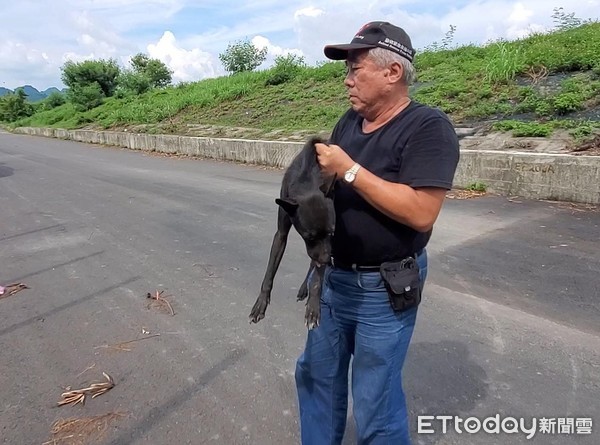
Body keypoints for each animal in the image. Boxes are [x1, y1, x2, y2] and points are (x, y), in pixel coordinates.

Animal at [247, 137, 336, 328]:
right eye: (309, 237)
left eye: (332, 233)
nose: (328, 260)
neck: (306, 178)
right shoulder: (281, 233)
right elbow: (269, 272)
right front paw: (261, 303)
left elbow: (317, 279)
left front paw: (313, 307)